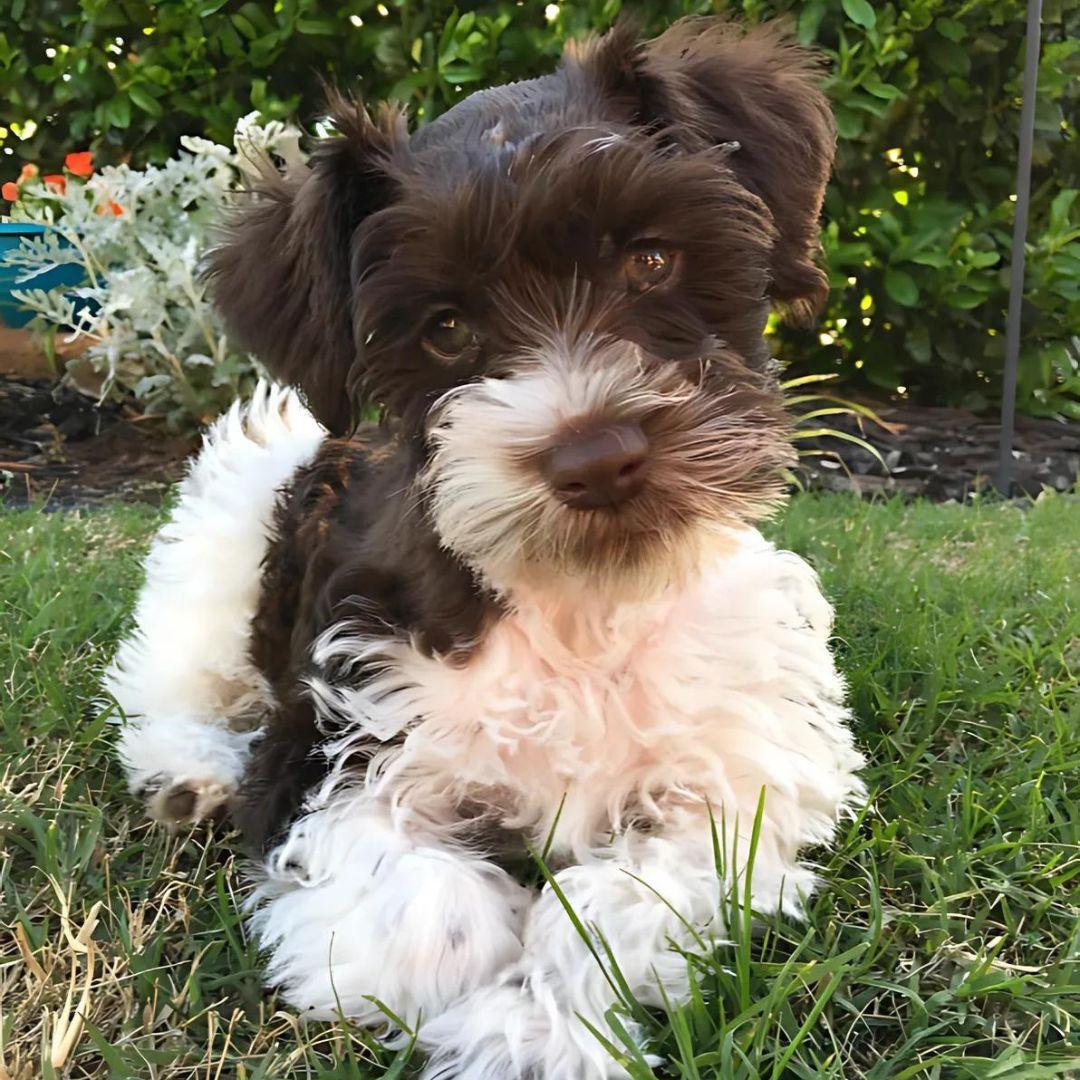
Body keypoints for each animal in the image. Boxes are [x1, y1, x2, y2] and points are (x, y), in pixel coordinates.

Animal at [105, 19, 864, 1080]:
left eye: (653, 260)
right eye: (447, 328)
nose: (596, 456)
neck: (577, 607)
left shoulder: (745, 777)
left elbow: (615, 900)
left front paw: (538, 1028)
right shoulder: (329, 742)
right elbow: (425, 909)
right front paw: (467, 994)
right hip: (226, 533)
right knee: (172, 676)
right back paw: (188, 772)